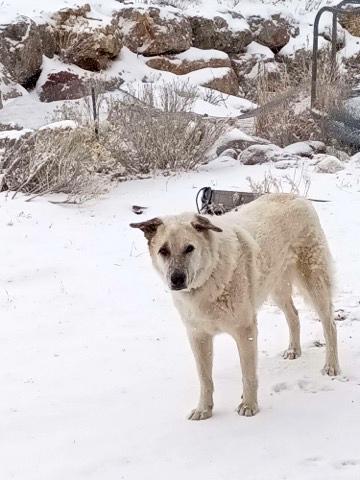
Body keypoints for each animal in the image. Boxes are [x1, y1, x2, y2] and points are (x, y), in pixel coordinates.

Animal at [130, 194, 340, 420]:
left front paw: (249, 406)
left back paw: (332, 366)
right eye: (163, 251)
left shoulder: (245, 331)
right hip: (276, 286)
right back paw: (294, 350)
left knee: (330, 324)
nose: (176, 280)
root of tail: (296, 197)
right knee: (293, 315)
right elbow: (205, 379)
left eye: (189, 248)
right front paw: (204, 409)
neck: (209, 278)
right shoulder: (198, 336)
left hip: (314, 283)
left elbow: (248, 375)